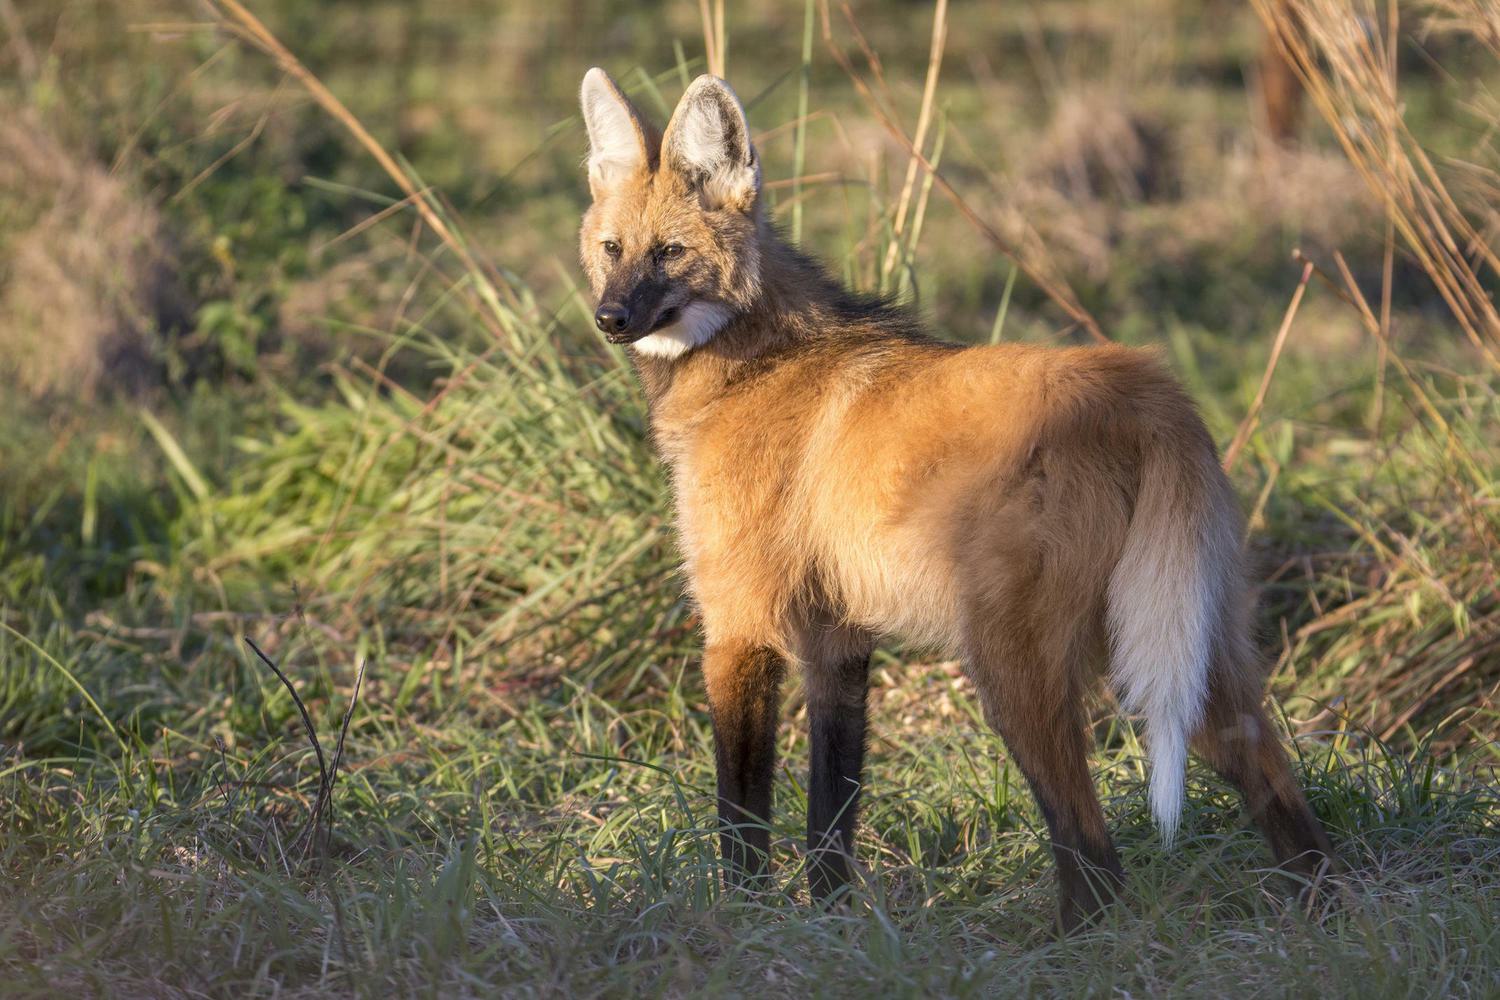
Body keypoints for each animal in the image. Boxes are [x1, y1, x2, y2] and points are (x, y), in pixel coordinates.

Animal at [573, 68, 1338, 929]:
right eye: (612, 249)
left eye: (670, 252)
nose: (611, 318)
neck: (753, 362)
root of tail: (1145, 390)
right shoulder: (837, 641)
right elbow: (830, 818)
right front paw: (835, 926)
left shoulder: (739, 627)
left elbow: (742, 822)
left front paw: (742, 923)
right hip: (1183, 640)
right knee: (1276, 789)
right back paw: (1324, 914)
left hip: (1011, 664)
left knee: (1094, 852)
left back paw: (1064, 940)